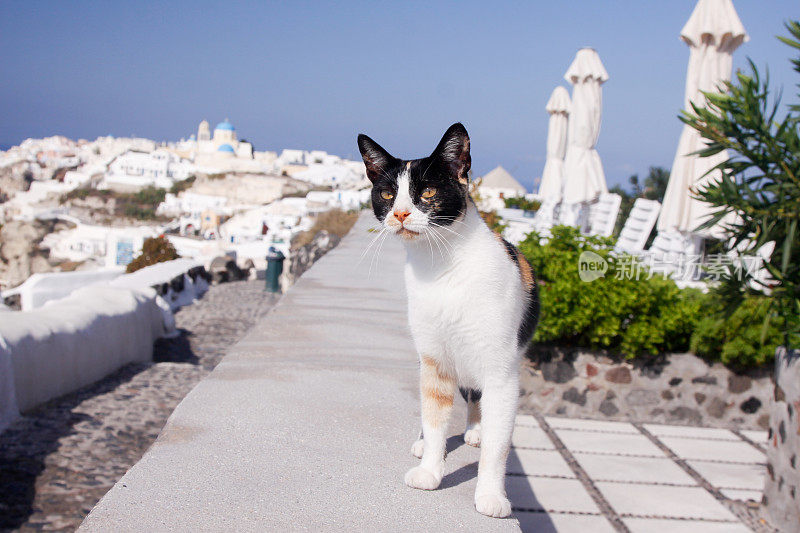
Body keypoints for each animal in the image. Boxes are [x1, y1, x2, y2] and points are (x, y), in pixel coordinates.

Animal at [360, 121, 540, 516]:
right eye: (387, 194)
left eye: (427, 191)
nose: (400, 214)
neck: (442, 267)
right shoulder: (434, 359)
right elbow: (435, 417)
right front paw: (430, 468)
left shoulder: (502, 370)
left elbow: (497, 444)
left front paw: (490, 495)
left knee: (476, 396)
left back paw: (475, 429)